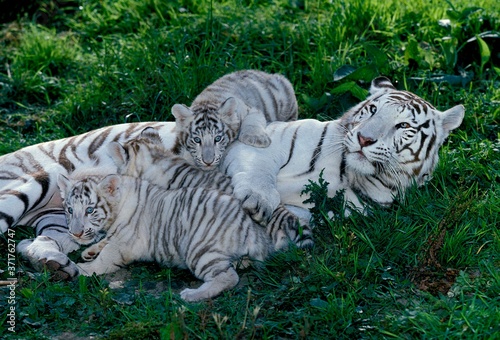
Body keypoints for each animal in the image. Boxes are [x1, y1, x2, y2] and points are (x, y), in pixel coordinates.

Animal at [0, 76, 464, 278]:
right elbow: (257, 174)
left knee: (32, 242)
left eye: (403, 126)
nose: (365, 138)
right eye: (370, 111)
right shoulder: (259, 143)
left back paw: (58, 264)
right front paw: (256, 200)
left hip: (60, 220)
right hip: (39, 180)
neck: (350, 173)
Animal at [58, 174, 278, 302]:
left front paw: (83, 268)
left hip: (199, 250)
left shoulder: (123, 244)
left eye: (89, 210)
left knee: (228, 277)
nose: (75, 233)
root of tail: (252, 228)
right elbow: (104, 242)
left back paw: (191, 295)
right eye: (70, 210)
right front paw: (89, 251)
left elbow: (104, 258)